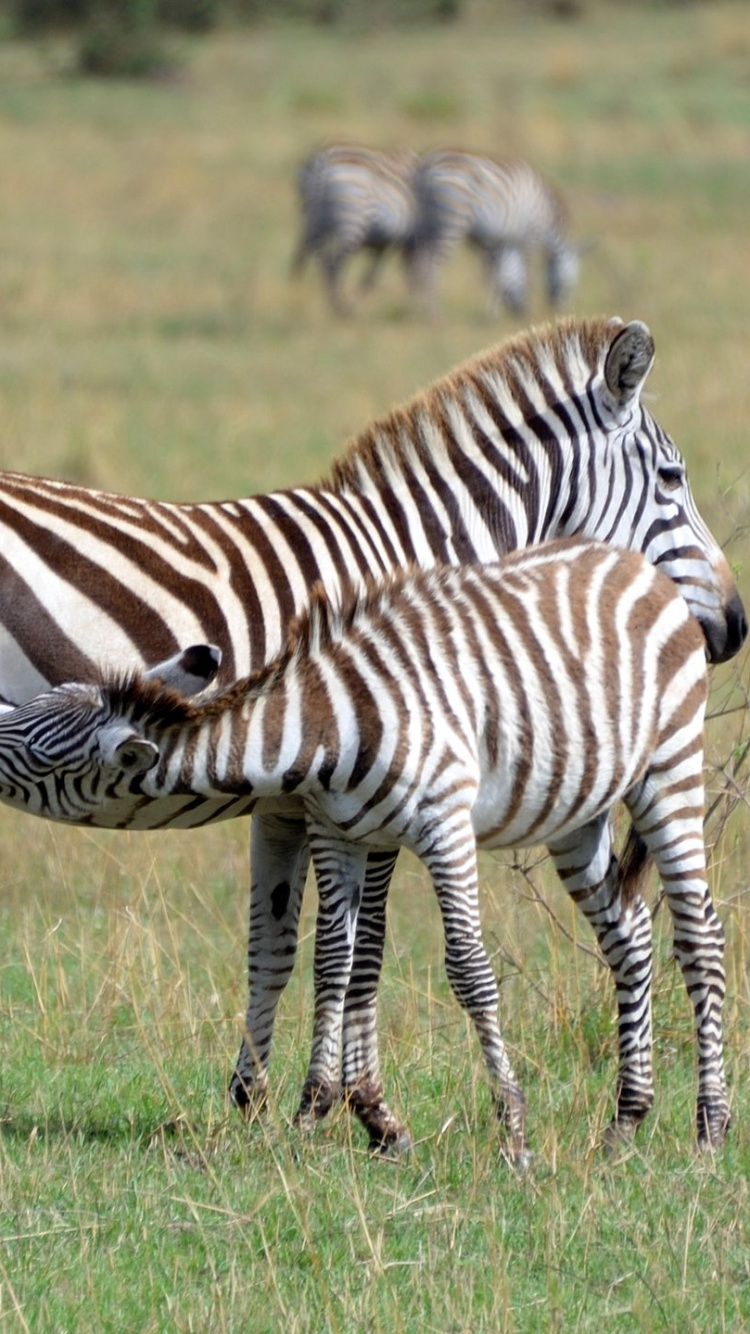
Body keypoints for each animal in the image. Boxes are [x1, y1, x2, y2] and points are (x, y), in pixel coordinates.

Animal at [0, 316, 744, 1149]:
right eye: (673, 478)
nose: (734, 626)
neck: (417, 548)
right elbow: (364, 946)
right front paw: (364, 1107)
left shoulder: (292, 796)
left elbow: (282, 940)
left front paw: (265, 1094)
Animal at [290, 144, 419, 314]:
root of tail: (323, 161)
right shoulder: (394, 242)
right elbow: (379, 274)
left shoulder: (384, 244)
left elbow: (372, 275)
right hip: (351, 222)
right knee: (335, 263)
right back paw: (340, 307)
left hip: (311, 220)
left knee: (304, 256)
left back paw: (294, 293)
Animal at [410, 150, 581, 316]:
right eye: (571, 281)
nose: (561, 310)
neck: (547, 210)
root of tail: (427, 164)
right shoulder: (530, 235)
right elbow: (526, 272)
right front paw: (527, 308)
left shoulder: (497, 240)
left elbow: (496, 274)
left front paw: (493, 311)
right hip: (453, 220)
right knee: (432, 265)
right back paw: (435, 312)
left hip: (426, 223)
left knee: (418, 263)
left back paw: (418, 308)